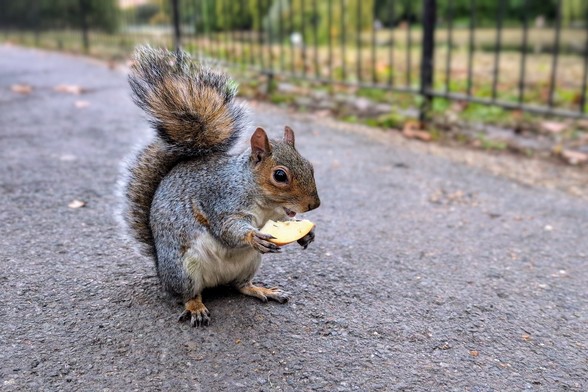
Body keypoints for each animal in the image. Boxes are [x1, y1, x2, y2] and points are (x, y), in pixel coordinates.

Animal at [120, 46, 322, 328]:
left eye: (310, 165)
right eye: (280, 175)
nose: (314, 204)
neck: (260, 199)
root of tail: (161, 270)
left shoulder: (277, 213)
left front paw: (307, 235)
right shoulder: (221, 199)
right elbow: (227, 227)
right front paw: (252, 236)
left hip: (250, 263)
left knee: (240, 286)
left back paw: (261, 290)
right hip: (183, 269)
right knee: (188, 294)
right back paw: (195, 307)